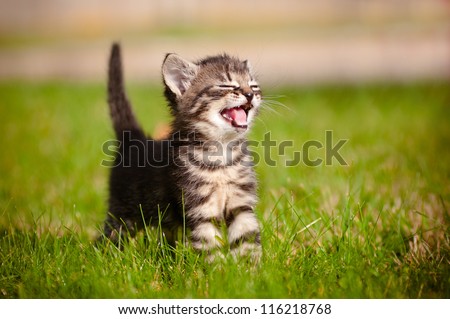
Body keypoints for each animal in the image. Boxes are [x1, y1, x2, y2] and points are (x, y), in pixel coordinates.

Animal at [102, 43, 262, 262]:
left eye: (253, 86)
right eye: (226, 86)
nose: (249, 94)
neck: (221, 154)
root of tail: (134, 139)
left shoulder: (242, 203)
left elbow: (247, 238)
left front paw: (250, 269)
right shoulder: (199, 208)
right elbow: (209, 244)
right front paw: (217, 270)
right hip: (123, 213)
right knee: (110, 237)